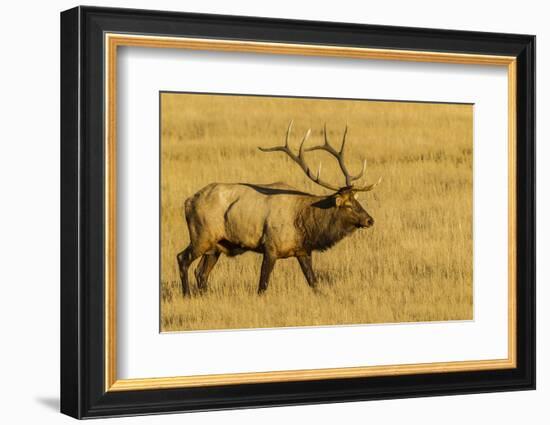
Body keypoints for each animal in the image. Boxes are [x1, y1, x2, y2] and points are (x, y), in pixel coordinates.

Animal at [179, 121, 382, 296]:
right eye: (348, 204)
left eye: (357, 200)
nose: (370, 220)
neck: (305, 225)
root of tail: (188, 201)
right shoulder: (270, 247)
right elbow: (262, 286)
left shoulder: (303, 251)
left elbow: (314, 282)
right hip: (201, 236)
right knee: (182, 259)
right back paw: (187, 295)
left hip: (216, 246)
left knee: (201, 272)